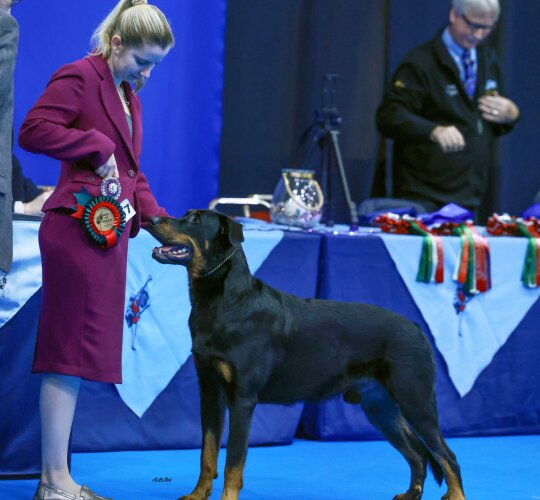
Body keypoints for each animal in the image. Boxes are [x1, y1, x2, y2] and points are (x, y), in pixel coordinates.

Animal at [147, 211, 464, 500]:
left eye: (196, 221)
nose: (152, 219)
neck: (221, 302)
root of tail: (416, 327)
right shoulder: (211, 391)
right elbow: (207, 453)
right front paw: (197, 495)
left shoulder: (243, 399)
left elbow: (233, 462)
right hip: (379, 407)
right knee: (417, 453)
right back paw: (411, 494)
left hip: (415, 401)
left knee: (447, 457)